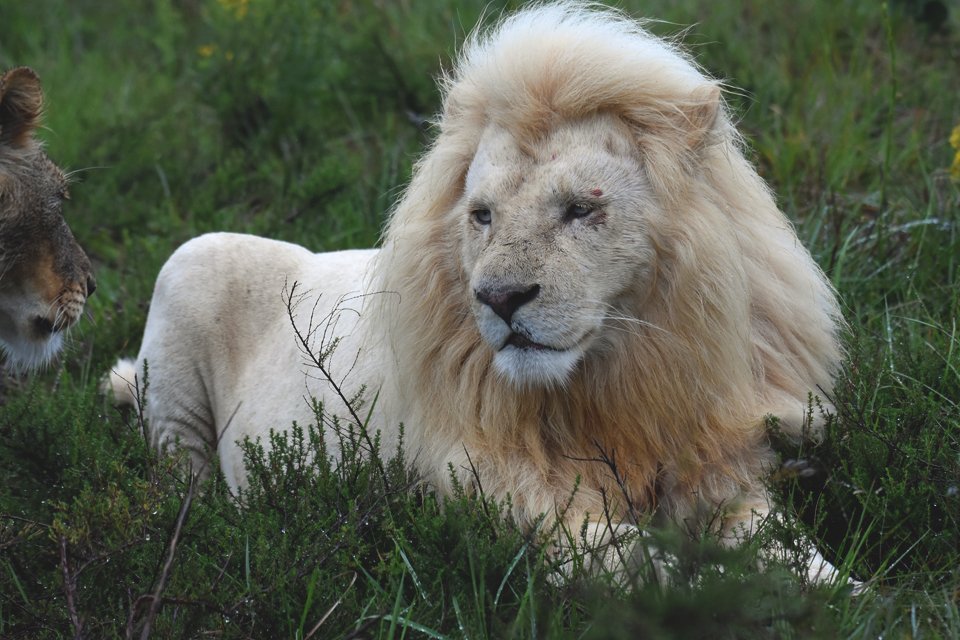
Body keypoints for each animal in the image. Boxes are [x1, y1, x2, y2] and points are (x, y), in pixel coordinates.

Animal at [109, 2, 848, 584]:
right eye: (482, 214)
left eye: (581, 209)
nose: (500, 298)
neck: (617, 382)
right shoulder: (511, 496)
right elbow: (640, 564)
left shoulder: (721, 465)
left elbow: (791, 553)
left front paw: (846, 597)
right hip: (186, 278)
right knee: (178, 490)